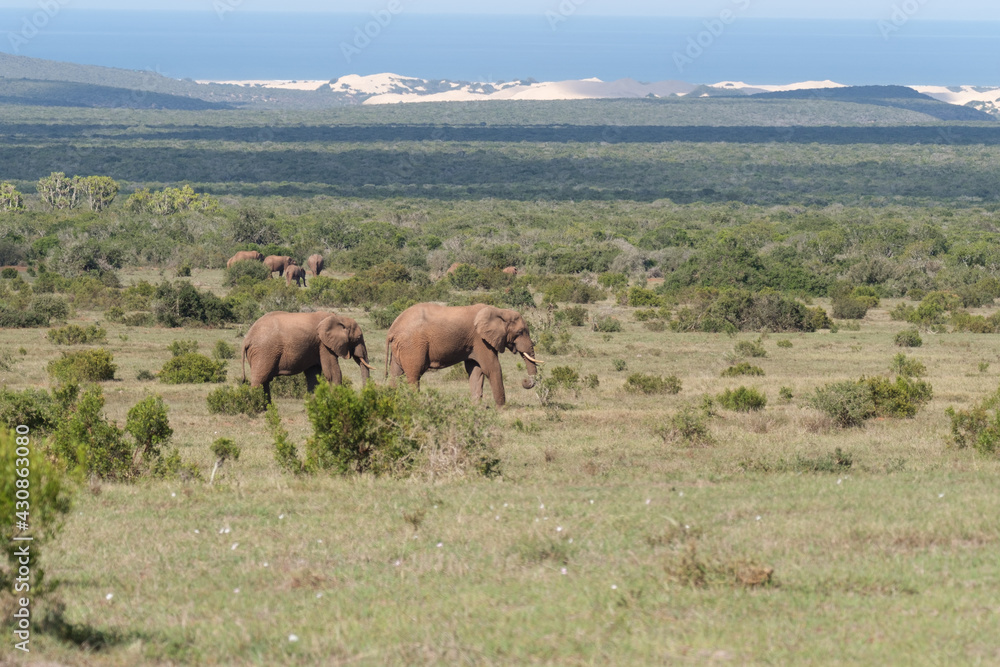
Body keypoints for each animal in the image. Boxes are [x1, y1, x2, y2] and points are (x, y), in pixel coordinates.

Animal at [240, 310, 374, 400]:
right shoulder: (323, 344)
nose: (364, 395)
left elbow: (313, 375)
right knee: (259, 379)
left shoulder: (316, 346)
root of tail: (247, 338)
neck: (339, 318)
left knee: (265, 381)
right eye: (358, 338)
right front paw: (338, 400)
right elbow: (332, 372)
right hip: (264, 351)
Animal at [384, 302, 544, 408]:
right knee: (414, 375)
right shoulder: (481, 340)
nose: (525, 381)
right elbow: (492, 368)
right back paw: (415, 404)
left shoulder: (474, 344)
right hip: (412, 346)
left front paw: (476, 407)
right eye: (520, 332)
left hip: (401, 348)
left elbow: (476, 370)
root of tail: (392, 329)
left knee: (395, 374)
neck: (500, 311)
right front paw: (502, 408)